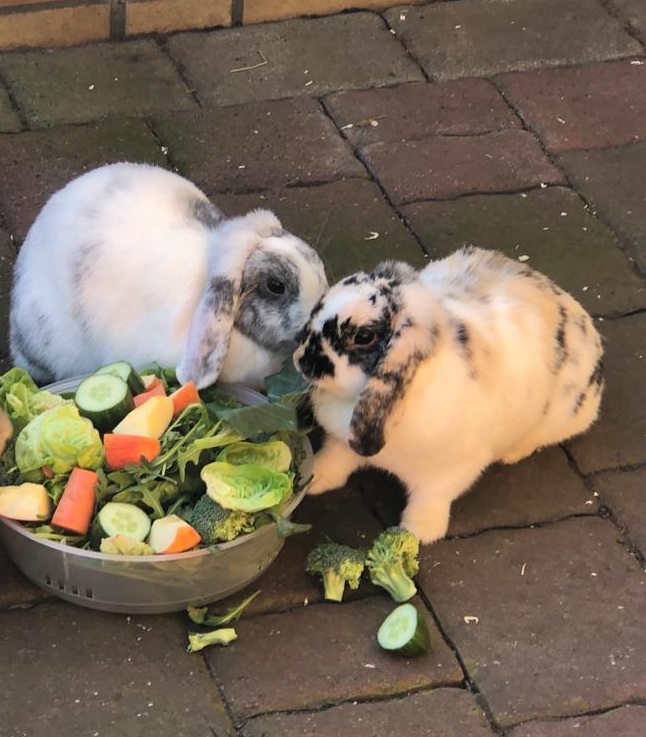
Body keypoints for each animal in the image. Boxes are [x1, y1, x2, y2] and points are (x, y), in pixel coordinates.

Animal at [294, 246, 604, 544]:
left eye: (363, 337)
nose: (300, 360)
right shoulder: (340, 442)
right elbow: (335, 460)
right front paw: (315, 479)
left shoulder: (450, 472)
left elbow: (430, 499)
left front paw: (417, 533)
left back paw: (512, 454)